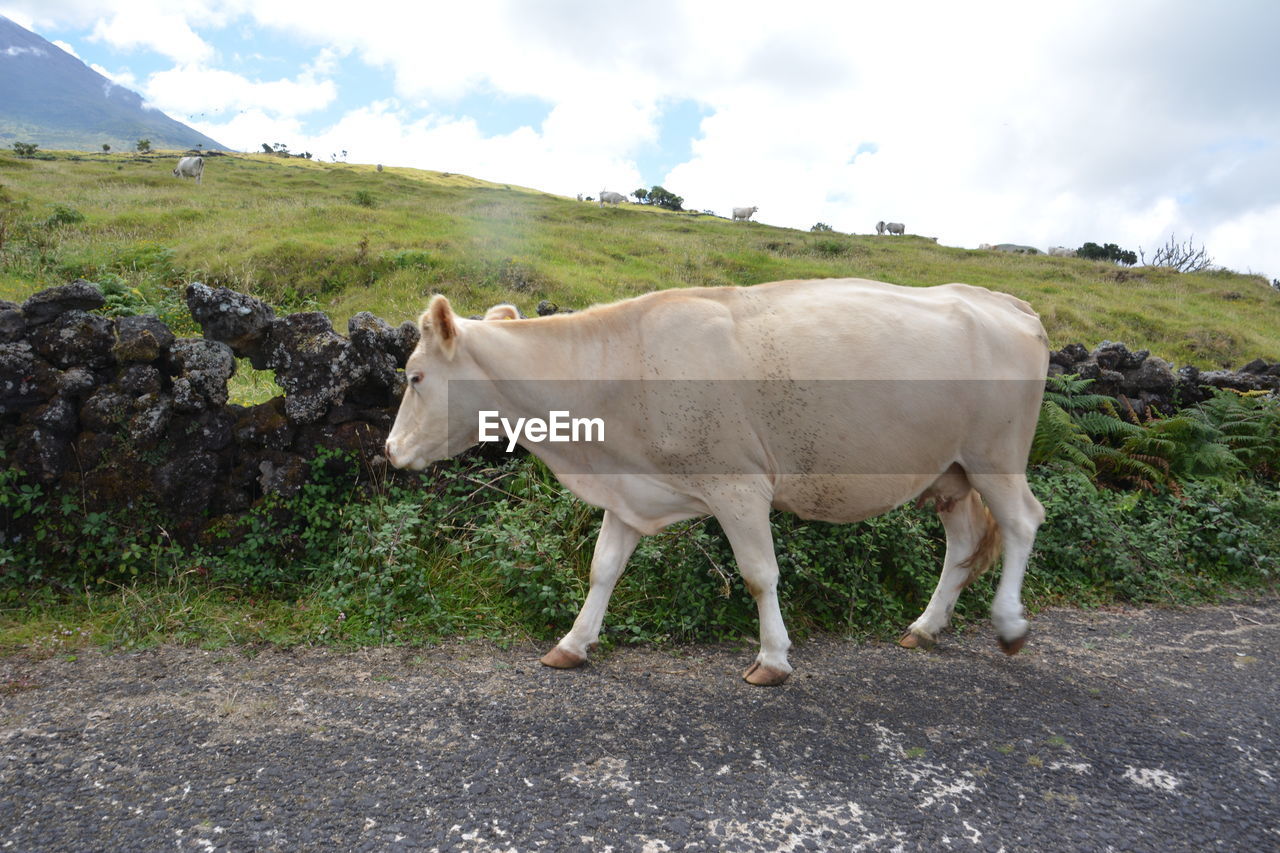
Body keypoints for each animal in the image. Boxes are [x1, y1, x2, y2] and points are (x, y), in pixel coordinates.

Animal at [386, 279, 1049, 686]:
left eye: (414, 376)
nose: (390, 450)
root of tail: (1005, 302)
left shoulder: (739, 486)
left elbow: (759, 575)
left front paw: (773, 659)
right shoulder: (629, 487)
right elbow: (603, 568)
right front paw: (572, 644)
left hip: (995, 454)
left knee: (1022, 521)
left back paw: (1010, 625)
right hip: (951, 471)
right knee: (964, 543)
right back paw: (924, 628)